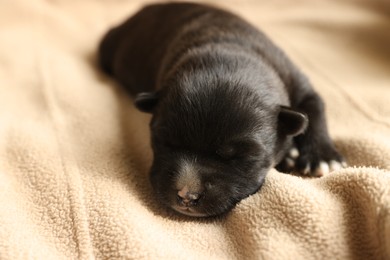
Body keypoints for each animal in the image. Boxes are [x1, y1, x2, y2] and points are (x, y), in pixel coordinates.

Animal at [99, 2, 346, 217]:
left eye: (238, 157)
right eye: (164, 142)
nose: (186, 195)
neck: (228, 51)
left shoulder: (296, 80)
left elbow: (315, 110)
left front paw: (322, 156)